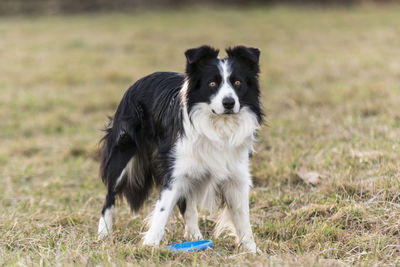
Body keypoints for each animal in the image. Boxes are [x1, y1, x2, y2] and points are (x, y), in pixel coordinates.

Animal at [97, 44, 262, 253]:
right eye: (212, 84)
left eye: (238, 82)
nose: (229, 103)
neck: (219, 125)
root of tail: (140, 81)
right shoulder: (176, 170)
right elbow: (163, 209)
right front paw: (149, 246)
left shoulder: (236, 174)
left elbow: (242, 215)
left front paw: (252, 250)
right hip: (122, 154)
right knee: (109, 198)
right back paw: (103, 234)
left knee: (188, 207)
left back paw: (195, 237)